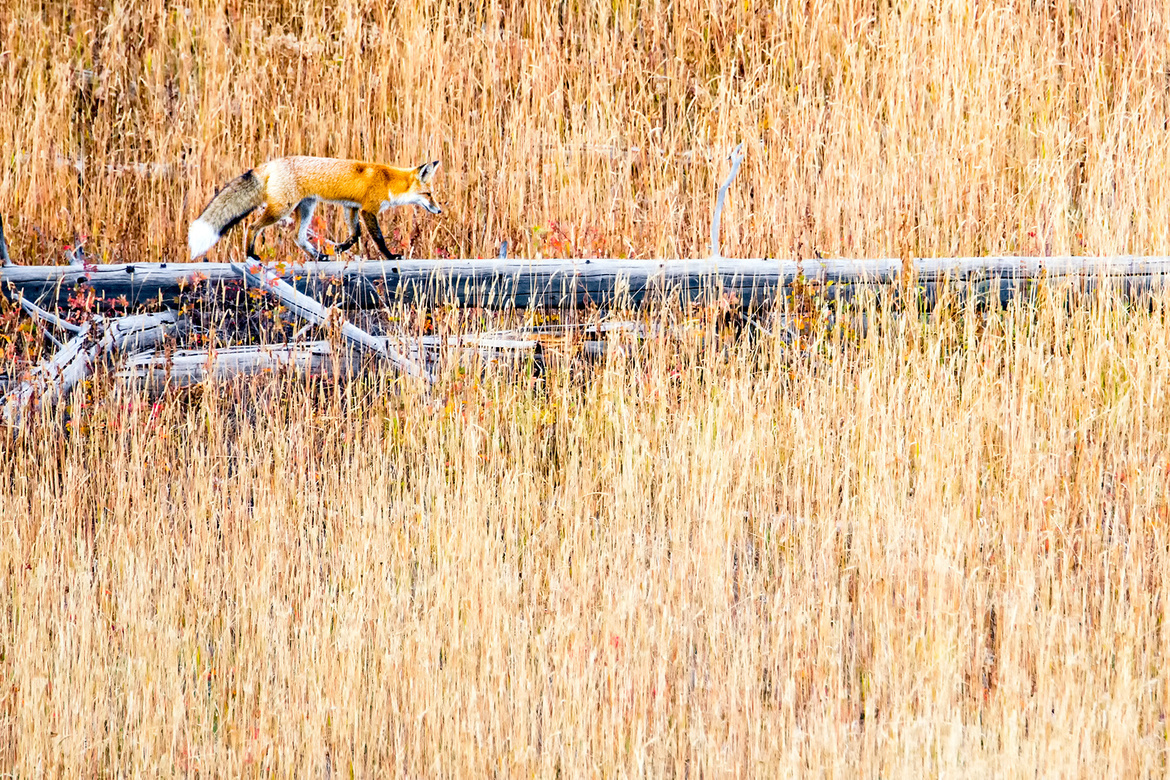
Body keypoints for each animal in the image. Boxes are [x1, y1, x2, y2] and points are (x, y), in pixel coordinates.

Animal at [187, 156, 441, 262]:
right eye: (429, 195)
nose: (439, 211)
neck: (388, 181)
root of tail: (270, 164)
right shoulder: (368, 210)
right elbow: (377, 238)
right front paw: (390, 256)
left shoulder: (352, 208)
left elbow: (355, 234)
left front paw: (339, 248)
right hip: (282, 210)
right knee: (253, 226)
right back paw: (250, 254)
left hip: (306, 208)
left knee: (298, 238)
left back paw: (319, 256)